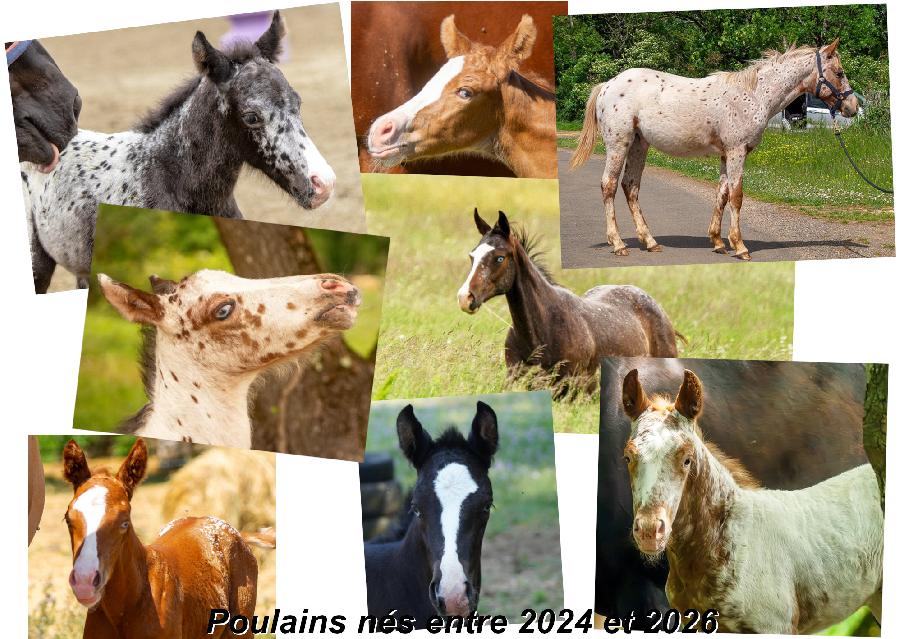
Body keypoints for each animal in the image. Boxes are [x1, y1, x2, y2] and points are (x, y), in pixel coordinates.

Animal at [571, 40, 858, 260]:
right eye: (840, 72)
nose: (853, 107)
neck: (754, 95)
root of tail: (607, 85)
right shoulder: (737, 152)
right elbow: (737, 196)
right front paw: (740, 246)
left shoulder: (725, 154)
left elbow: (722, 193)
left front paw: (718, 242)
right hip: (619, 144)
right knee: (609, 186)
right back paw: (618, 244)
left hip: (640, 145)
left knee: (630, 186)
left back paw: (650, 242)